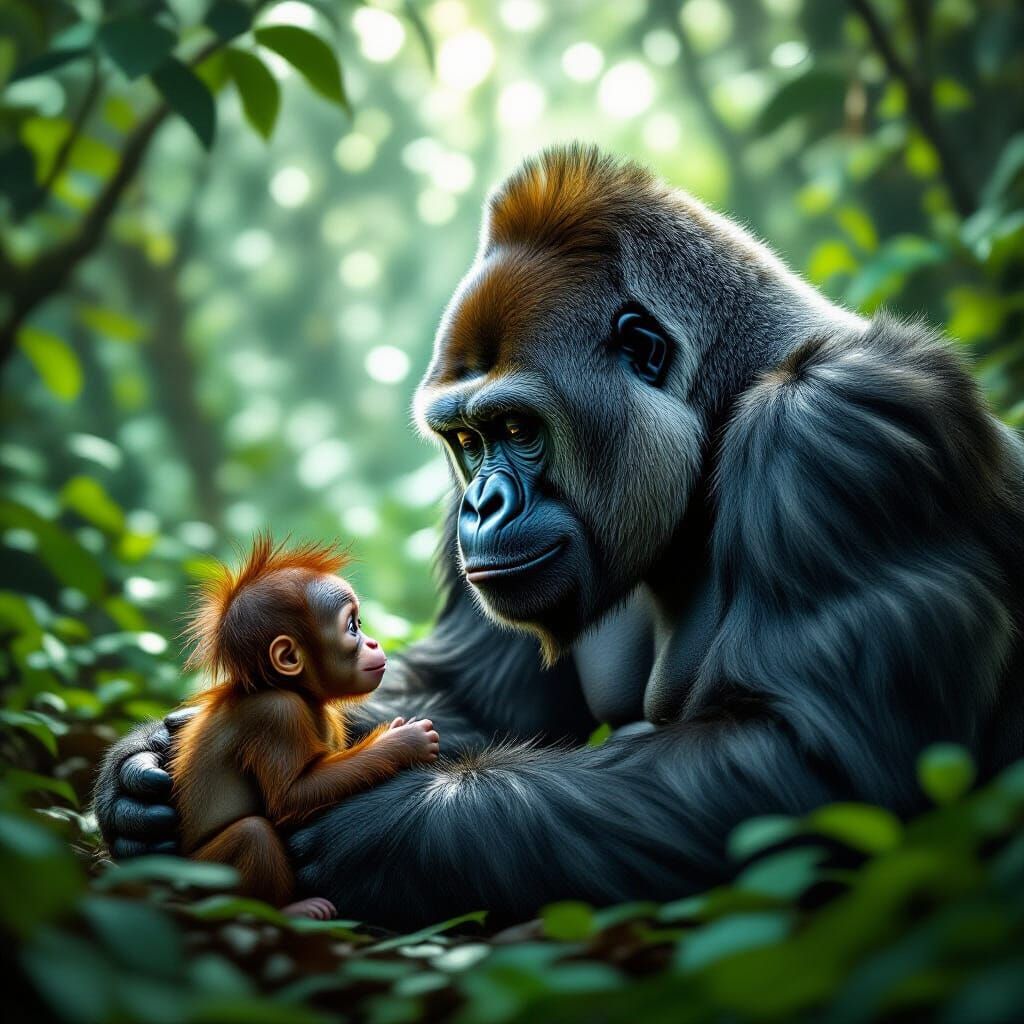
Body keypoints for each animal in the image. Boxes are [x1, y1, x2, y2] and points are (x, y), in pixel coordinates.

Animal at [168, 533, 440, 917]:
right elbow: (291, 796)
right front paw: (404, 741)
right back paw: (293, 910)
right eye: (352, 627)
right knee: (253, 833)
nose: (373, 642)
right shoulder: (277, 714)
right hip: (200, 875)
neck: (293, 689)